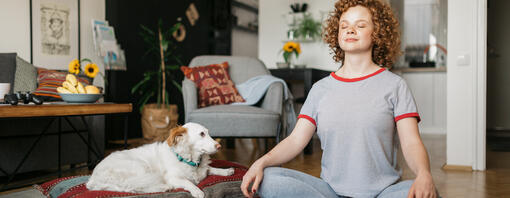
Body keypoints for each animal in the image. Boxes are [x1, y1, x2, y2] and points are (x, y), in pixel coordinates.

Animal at [86, 122, 235, 198]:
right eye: (202, 134)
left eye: (208, 133)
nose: (219, 146)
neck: (189, 159)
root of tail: (93, 178)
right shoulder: (173, 177)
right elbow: (187, 182)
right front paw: (197, 191)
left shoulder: (203, 169)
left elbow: (210, 169)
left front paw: (226, 171)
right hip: (140, 167)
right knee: (134, 187)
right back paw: (164, 187)